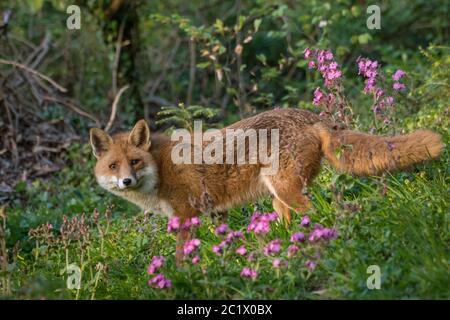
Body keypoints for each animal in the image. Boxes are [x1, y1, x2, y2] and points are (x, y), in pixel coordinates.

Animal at [89, 107, 444, 260]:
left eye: (134, 162)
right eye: (113, 166)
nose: (126, 180)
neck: (160, 168)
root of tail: (310, 116)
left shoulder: (186, 215)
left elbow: (179, 255)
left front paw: (179, 273)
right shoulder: (213, 211)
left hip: (288, 191)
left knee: (321, 214)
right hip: (278, 196)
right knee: (287, 224)